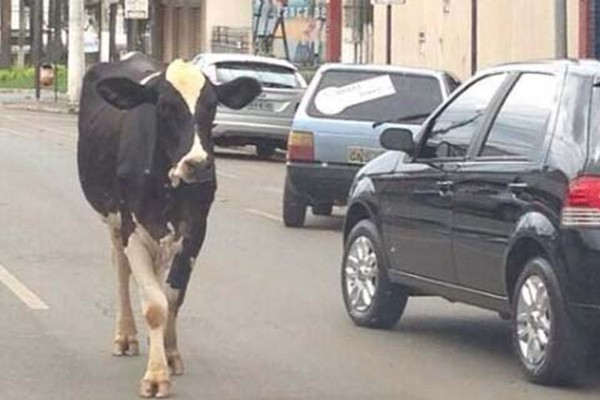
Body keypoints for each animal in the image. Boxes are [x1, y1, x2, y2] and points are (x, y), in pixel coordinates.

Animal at [76, 52, 262, 396]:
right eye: (163, 106)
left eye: (212, 105)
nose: (198, 164)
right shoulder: (131, 229)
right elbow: (153, 305)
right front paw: (155, 376)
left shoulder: (195, 230)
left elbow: (172, 297)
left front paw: (169, 353)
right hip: (112, 220)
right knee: (122, 271)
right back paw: (126, 335)